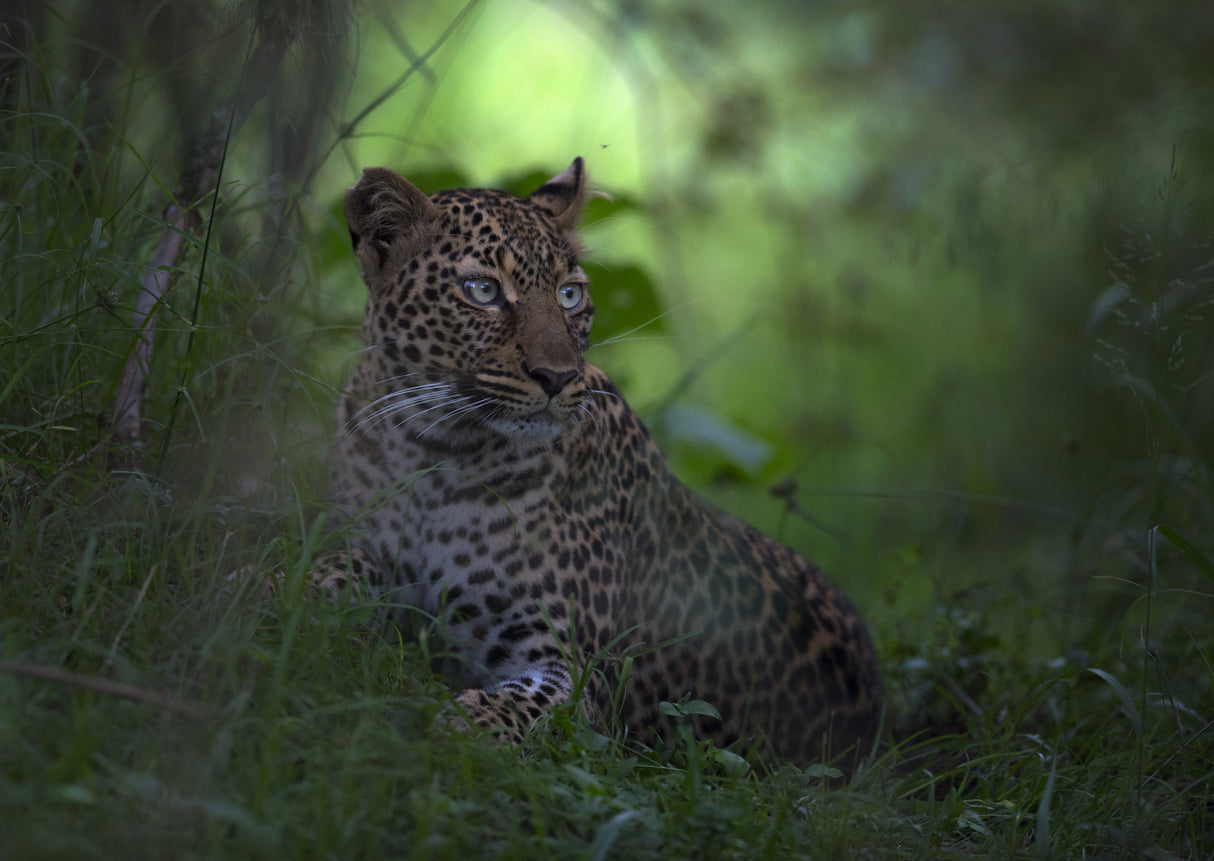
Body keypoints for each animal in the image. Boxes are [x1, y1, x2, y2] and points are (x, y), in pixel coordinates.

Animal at [314, 157, 882, 763]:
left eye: (569, 296)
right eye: (482, 290)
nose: (558, 376)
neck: (435, 454)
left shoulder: (574, 672)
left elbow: (503, 713)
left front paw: (440, 731)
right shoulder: (360, 536)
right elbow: (329, 569)